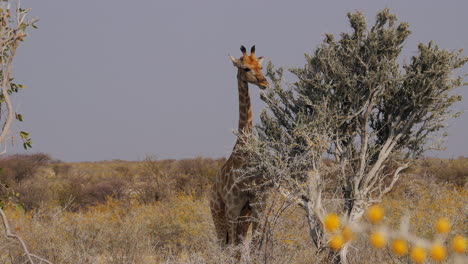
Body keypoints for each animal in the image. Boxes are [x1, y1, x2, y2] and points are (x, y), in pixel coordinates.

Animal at [210, 44, 268, 249]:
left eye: (260, 66)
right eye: (245, 68)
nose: (264, 83)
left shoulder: (257, 205)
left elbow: (254, 246)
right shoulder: (232, 208)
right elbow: (233, 248)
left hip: (244, 216)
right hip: (217, 213)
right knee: (223, 246)